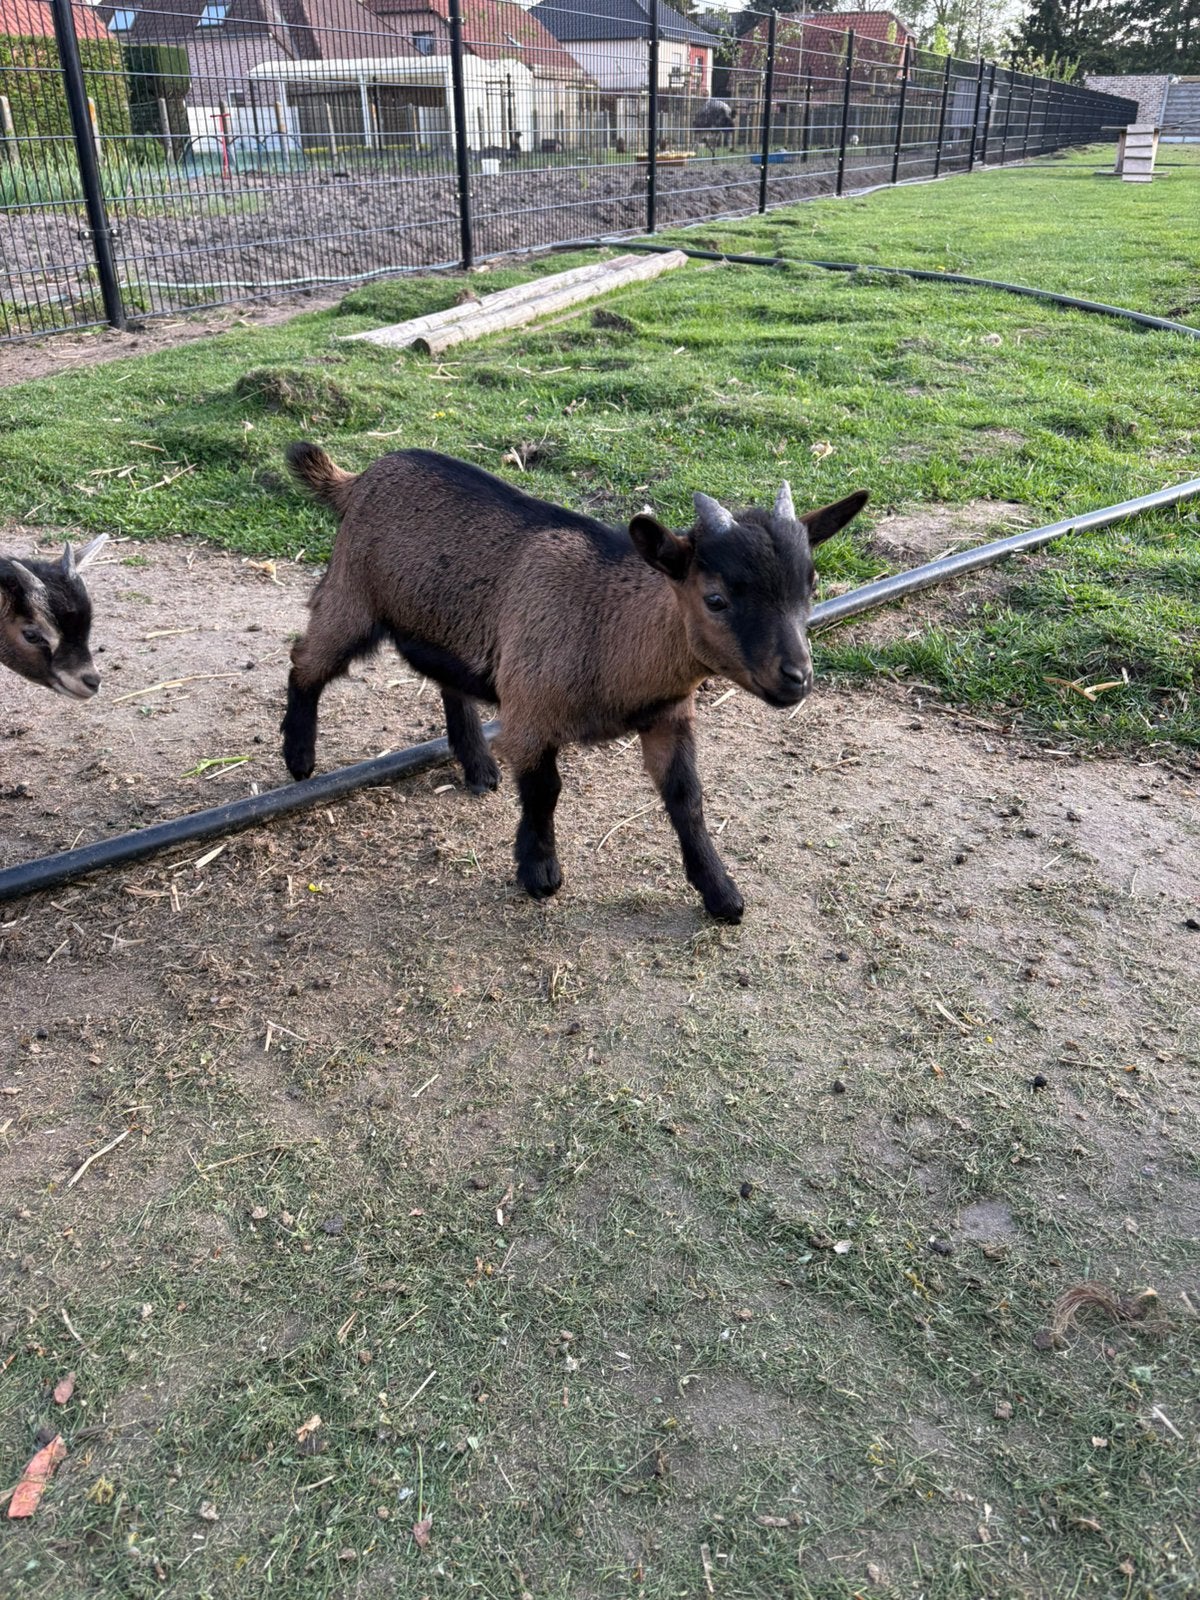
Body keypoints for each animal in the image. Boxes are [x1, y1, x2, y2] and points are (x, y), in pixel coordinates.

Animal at [282, 445, 867, 921]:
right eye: (716, 599)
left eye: (811, 585)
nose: (796, 678)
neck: (607, 627)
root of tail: (359, 477)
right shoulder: (530, 712)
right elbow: (545, 791)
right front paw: (539, 872)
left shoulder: (668, 716)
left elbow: (687, 798)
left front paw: (721, 893)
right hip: (352, 592)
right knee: (304, 659)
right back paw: (299, 757)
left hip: (441, 620)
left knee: (447, 679)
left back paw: (477, 765)